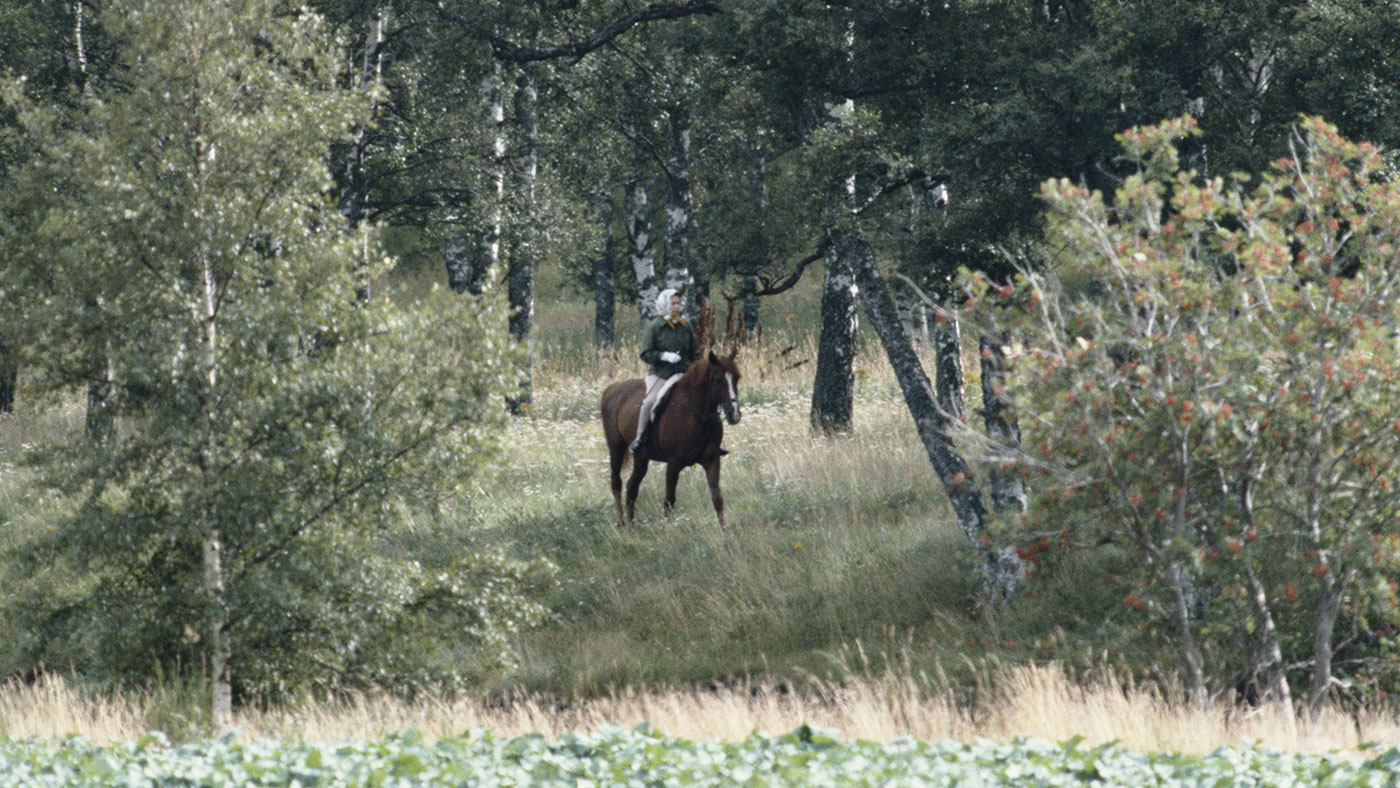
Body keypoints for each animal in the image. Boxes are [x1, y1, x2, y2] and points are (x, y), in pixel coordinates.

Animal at [599, 352, 739, 526]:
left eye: (737, 378)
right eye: (718, 380)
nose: (735, 415)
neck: (697, 415)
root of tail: (612, 388)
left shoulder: (712, 460)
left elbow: (717, 498)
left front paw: (723, 531)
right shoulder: (673, 463)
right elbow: (669, 501)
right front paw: (667, 530)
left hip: (641, 457)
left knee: (632, 487)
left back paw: (631, 526)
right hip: (616, 448)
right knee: (616, 483)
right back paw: (621, 522)